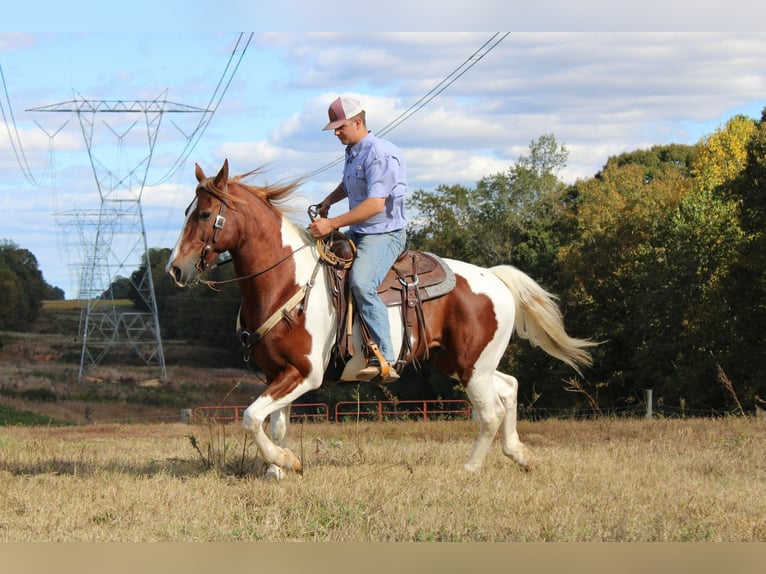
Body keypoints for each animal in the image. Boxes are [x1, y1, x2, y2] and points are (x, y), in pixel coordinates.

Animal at [168, 160, 596, 480]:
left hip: (472, 365)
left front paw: (285, 461)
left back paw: (470, 468)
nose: (175, 268)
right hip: (462, 361)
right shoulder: (279, 373)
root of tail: (494, 277)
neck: (288, 281)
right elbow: (274, 423)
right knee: (509, 387)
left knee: (490, 412)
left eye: (204, 213)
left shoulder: (305, 374)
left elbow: (251, 417)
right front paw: (277, 470)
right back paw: (519, 454)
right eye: (186, 212)